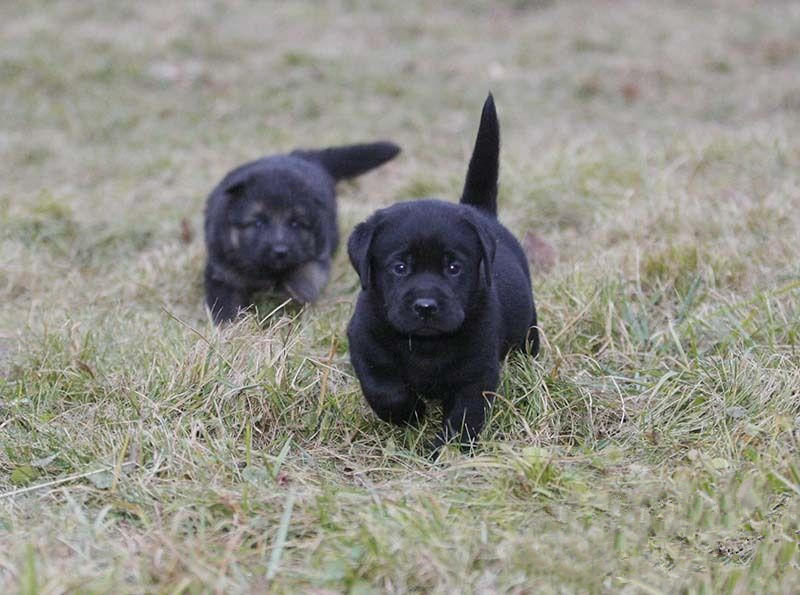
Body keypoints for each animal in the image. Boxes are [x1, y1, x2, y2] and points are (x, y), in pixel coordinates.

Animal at [348, 95, 540, 452]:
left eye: (453, 268)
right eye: (399, 267)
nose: (426, 307)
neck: (427, 346)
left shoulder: (476, 375)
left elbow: (463, 418)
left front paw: (443, 451)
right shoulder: (364, 346)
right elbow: (384, 390)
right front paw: (412, 413)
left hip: (528, 330)